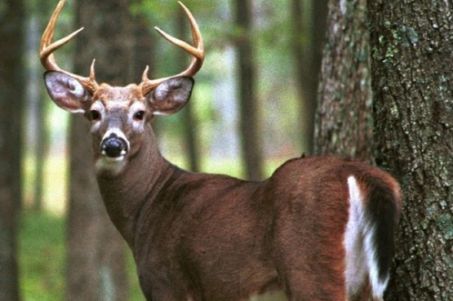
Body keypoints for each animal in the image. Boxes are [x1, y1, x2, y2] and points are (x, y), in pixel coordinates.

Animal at [38, 1, 400, 298]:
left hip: (311, 266)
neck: (147, 208)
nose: (113, 143)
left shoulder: (166, 282)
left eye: (140, 113)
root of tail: (360, 175)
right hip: (365, 283)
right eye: (93, 113)